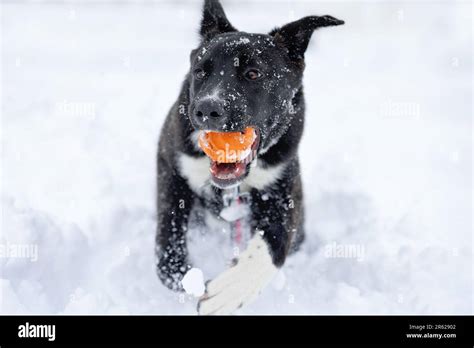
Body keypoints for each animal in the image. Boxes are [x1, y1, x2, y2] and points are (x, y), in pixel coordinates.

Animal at [156, 0, 344, 316]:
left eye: (253, 73)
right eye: (200, 71)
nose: (207, 109)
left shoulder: (283, 188)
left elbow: (275, 243)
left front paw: (231, 288)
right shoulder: (171, 164)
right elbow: (168, 234)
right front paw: (184, 275)